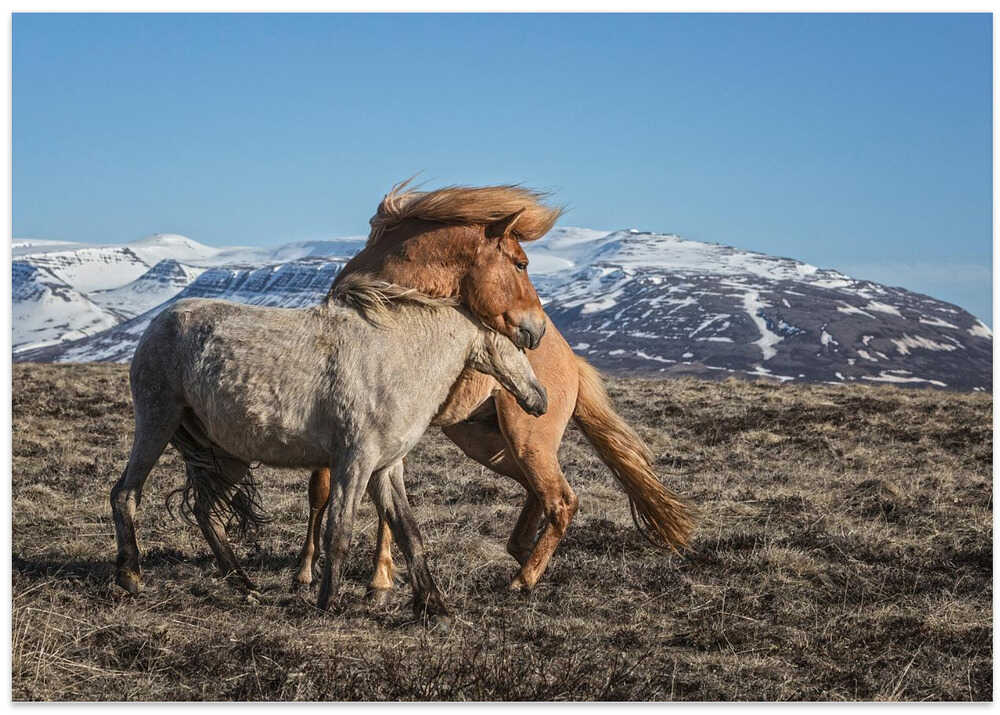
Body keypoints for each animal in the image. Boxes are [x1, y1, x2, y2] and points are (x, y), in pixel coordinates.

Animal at [109, 278, 548, 623]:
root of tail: (159, 323)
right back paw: (131, 576)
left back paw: (245, 585)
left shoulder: (385, 469)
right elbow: (340, 530)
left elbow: (409, 533)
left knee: (206, 512)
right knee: (126, 494)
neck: (396, 359)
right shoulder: (355, 462)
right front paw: (327, 602)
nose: (539, 399)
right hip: (157, 421)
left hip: (225, 454)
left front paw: (434, 608)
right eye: (515, 341)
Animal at [294, 182, 695, 603]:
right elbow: (327, 490)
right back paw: (520, 551)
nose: (536, 329)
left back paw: (524, 578)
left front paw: (377, 579)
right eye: (521, 264)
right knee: (538, 492)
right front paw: (310, 571)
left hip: (525, 439)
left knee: (562, 500)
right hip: (485, 442)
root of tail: (570, 360)